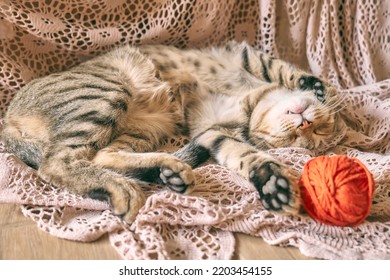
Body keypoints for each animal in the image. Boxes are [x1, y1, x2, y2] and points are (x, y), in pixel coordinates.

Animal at [0, 40, 342, 222]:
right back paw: (125, 187)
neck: (250, 101)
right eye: (312, 132)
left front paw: (271, 183)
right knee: (56, 163)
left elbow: (244, 155)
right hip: (108, 91)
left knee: (99, 157)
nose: (306, 124)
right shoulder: (240, 55)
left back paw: (169, 170)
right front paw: (319, 88)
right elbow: (281, 69)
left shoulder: (211, 132)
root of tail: (7, 121)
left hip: (142, 129)